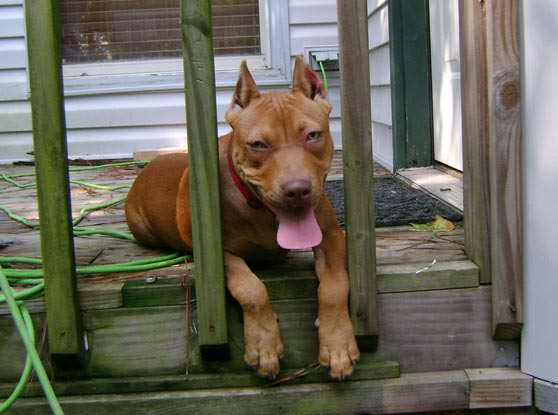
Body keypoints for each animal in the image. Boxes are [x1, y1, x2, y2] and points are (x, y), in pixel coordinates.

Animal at [126, 56, 360, 380]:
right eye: (258, 144)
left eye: (313, 135)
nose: (297, 190)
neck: (262, 213)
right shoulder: (215, 253)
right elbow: (250, 287)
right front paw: (263, 344)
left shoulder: (332, 236)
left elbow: (335, 286)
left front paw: (337, 343)